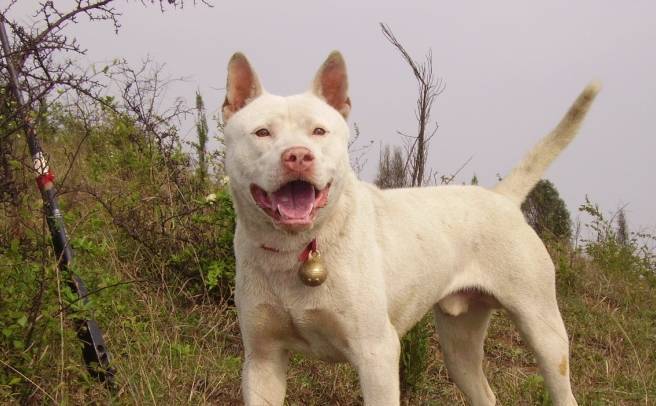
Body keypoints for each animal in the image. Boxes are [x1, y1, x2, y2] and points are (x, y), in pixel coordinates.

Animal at [222, 51, 600, 406]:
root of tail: (501, 197)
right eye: (262, 133)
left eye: (318, 131)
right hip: (459, 346)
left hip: (544, 332)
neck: (297, 248)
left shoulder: (377, 355)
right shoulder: (262, 361)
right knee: (484, 393)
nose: (298, 156)